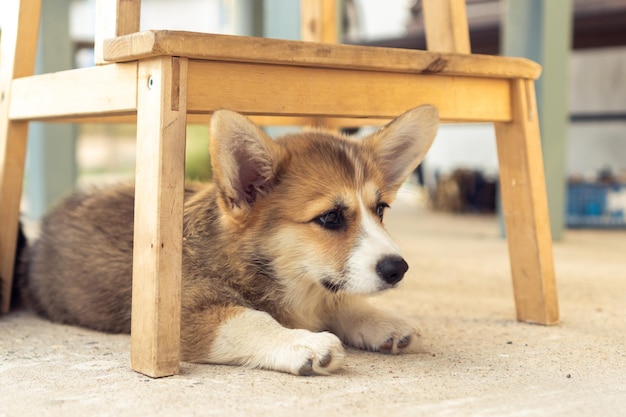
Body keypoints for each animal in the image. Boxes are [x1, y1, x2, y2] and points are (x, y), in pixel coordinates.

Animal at [17, 104, 436, 374]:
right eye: (330, 217)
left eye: (380, 209)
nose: (398, 269)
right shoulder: (179, 317)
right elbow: (249, 319)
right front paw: (304, 342)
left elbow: (342, 301)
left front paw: (382, 323)